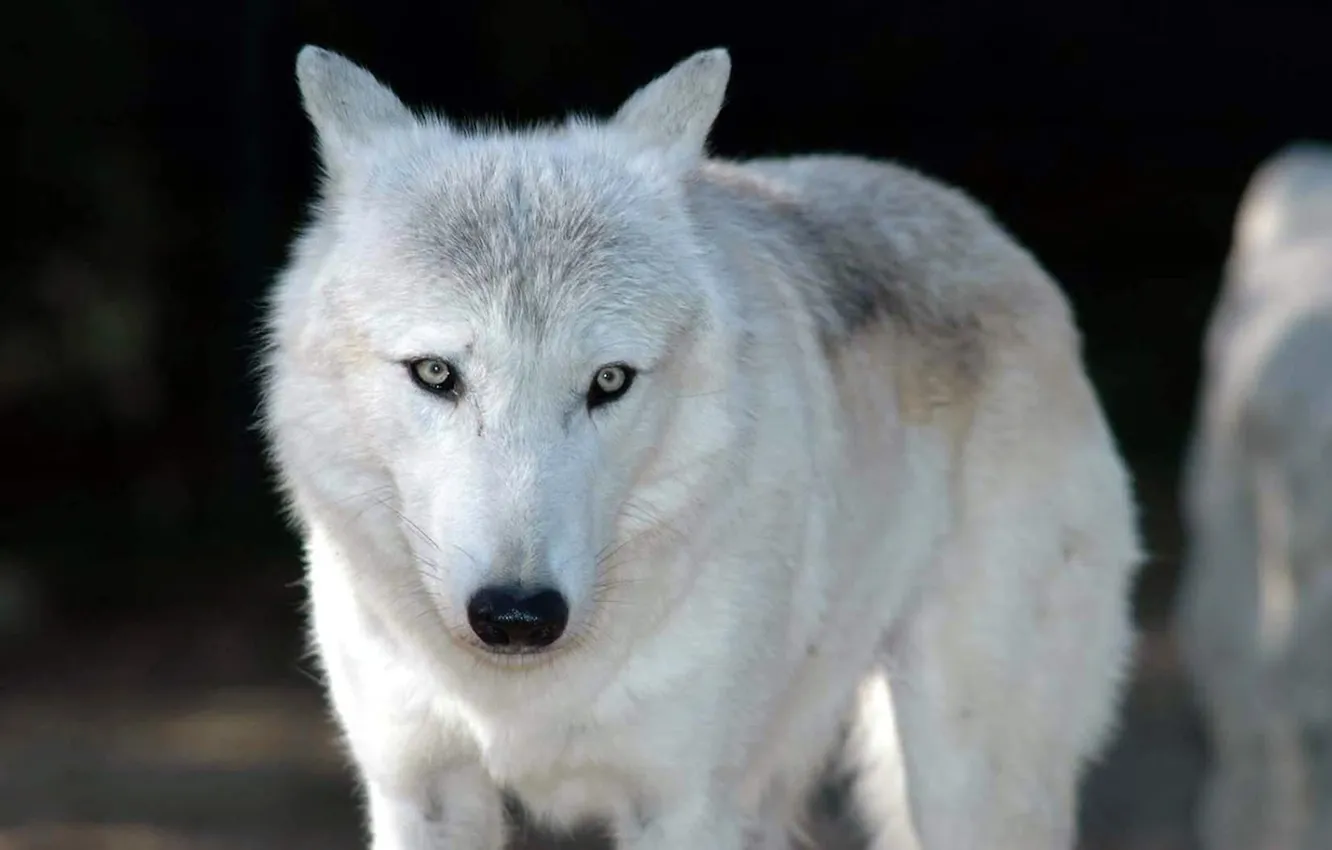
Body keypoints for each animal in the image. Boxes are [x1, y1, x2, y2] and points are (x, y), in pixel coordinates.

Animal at [258, 45, 1143, 850]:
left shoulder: (685, 806)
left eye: (609, 381)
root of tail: (987, 231)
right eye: (437, 373)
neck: (519, 698)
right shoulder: (420, 792)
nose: (517, 616)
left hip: (963, 777)